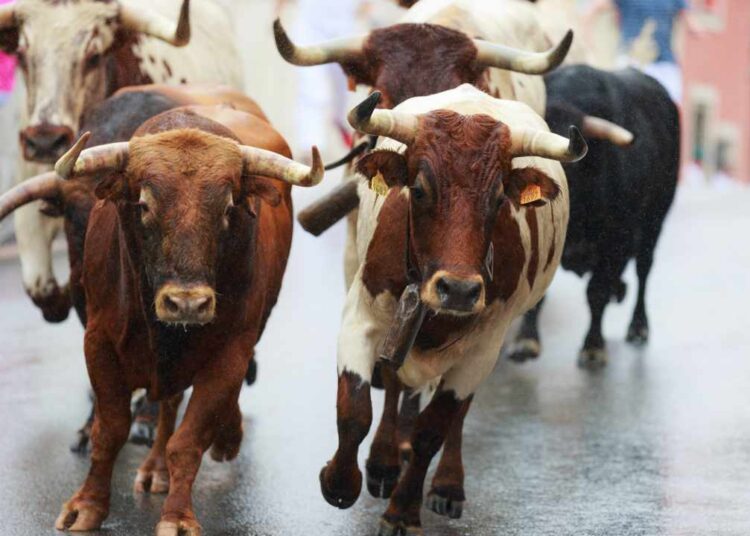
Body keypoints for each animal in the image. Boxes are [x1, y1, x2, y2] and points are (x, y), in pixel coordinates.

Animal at [319, 84, 585, 534]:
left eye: (498, 199)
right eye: (419, 189)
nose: (458, 290)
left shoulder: (483, 347)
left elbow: (433, 431)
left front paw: (403, 511)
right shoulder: (362, 316)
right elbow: (355, 409)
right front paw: (339, 481)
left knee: (455, 415)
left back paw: (446, 486)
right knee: (394, 385)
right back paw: (383, 463)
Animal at [507, 65, 679, 367]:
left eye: (569, 165)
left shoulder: (615, 243)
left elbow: (596, 292)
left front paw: (593, 346)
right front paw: (526, 341)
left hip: (654, 222)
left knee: (644, 269)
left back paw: (638, 326)